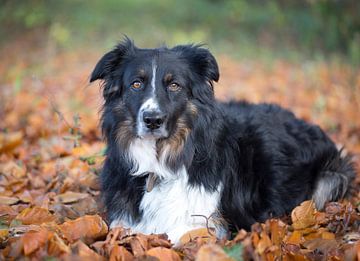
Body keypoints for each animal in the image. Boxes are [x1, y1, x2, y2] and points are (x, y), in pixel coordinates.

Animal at [89, 37, 354, 243]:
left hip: (329, 178)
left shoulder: (207, 224)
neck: (161, 162)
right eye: (136, 84)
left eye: (174, 85)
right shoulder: (124, 220)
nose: (152, 120)